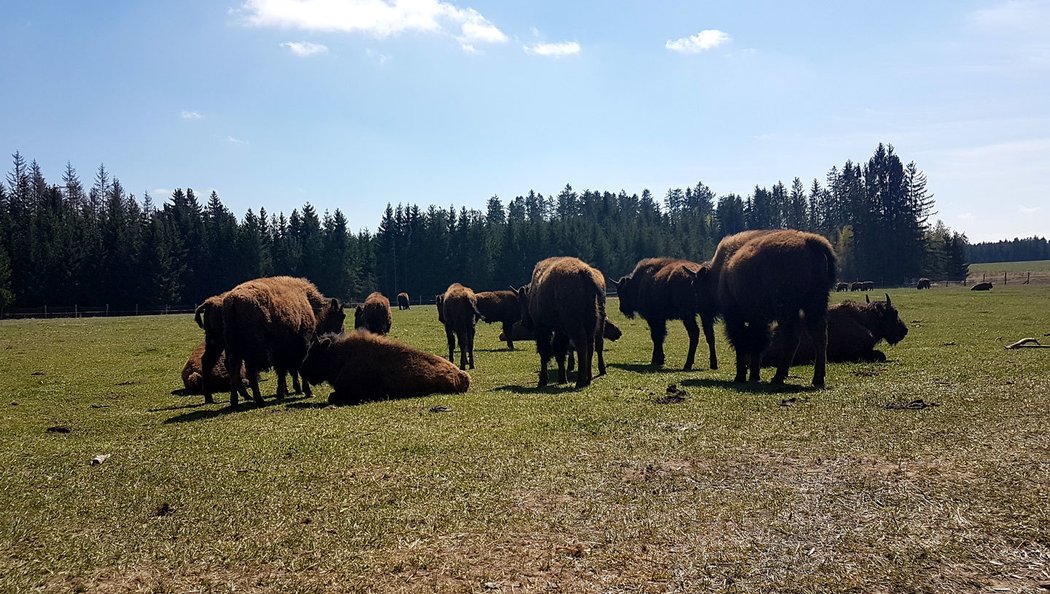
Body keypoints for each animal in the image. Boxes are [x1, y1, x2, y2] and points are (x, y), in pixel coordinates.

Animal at [220, 277, 344, 407]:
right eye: (341, 316)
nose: (339, 333)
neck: (308, 302)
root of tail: (233, 300)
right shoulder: (301, 345)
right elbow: (296, 368)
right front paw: (306, 391)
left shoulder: (280, 351)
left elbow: (283, 371)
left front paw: (284, 392)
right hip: (252, 351)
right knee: (250, 371)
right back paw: (259, 400)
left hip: (232, 349)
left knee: (234, 370)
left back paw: (234, 401)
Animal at [516, 257, 609, 390]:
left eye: (521, 301)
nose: (524, 322)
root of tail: (584, 272)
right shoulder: (560, 331)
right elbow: (559, 351)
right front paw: (562, 379)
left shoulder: (542, 328)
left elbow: (544, 352)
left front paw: (542, 381)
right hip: (592, 322)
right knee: (592, 345)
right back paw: (588, 379)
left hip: (575, 324)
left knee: (581, 345)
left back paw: (580, 382)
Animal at [713, 230, 835, 388]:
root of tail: (809, 240)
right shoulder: (759, 319)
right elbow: (758, 343)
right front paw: (754, 375)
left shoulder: (734, 316)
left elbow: (741, 341)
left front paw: (740, 376)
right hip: (816, 305)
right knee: (819, 336)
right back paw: (817, 379)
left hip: (786, 310)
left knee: (792, 337)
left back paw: (778, 377)